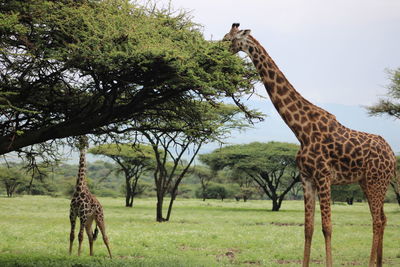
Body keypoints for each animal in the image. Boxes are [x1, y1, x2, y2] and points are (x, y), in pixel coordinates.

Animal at [223, 23, 396, 267]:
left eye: (227, 39)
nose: (216, 51)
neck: (300, 131)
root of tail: (391, 154)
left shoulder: (323, 176)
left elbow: (327, 228)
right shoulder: (306, 178)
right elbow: (308, 228)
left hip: (376, 181)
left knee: (377, 221)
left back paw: (372, 264)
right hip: (368, 181)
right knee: (383, 217)